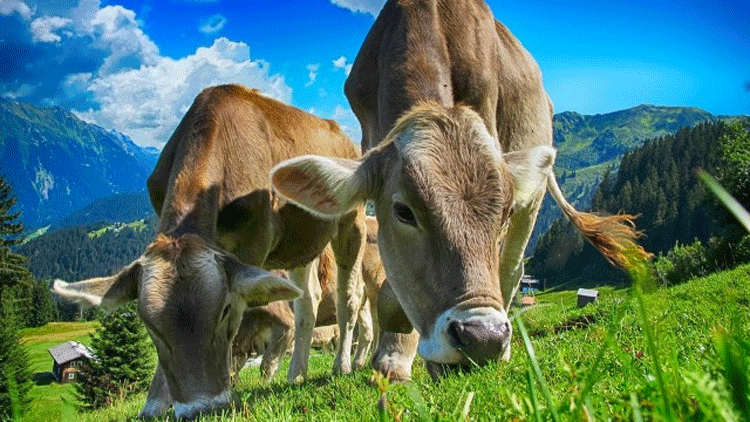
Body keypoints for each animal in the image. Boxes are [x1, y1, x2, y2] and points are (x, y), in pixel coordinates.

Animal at [53, 84, 368, 420]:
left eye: (225, 310)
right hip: (301, 243)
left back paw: (342, 366)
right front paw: (155, 403)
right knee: (307, 300)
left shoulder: (253, 246)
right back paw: (296, 373)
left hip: (352, 221)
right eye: (149, 325)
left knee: (349, 297)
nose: (202, 408)